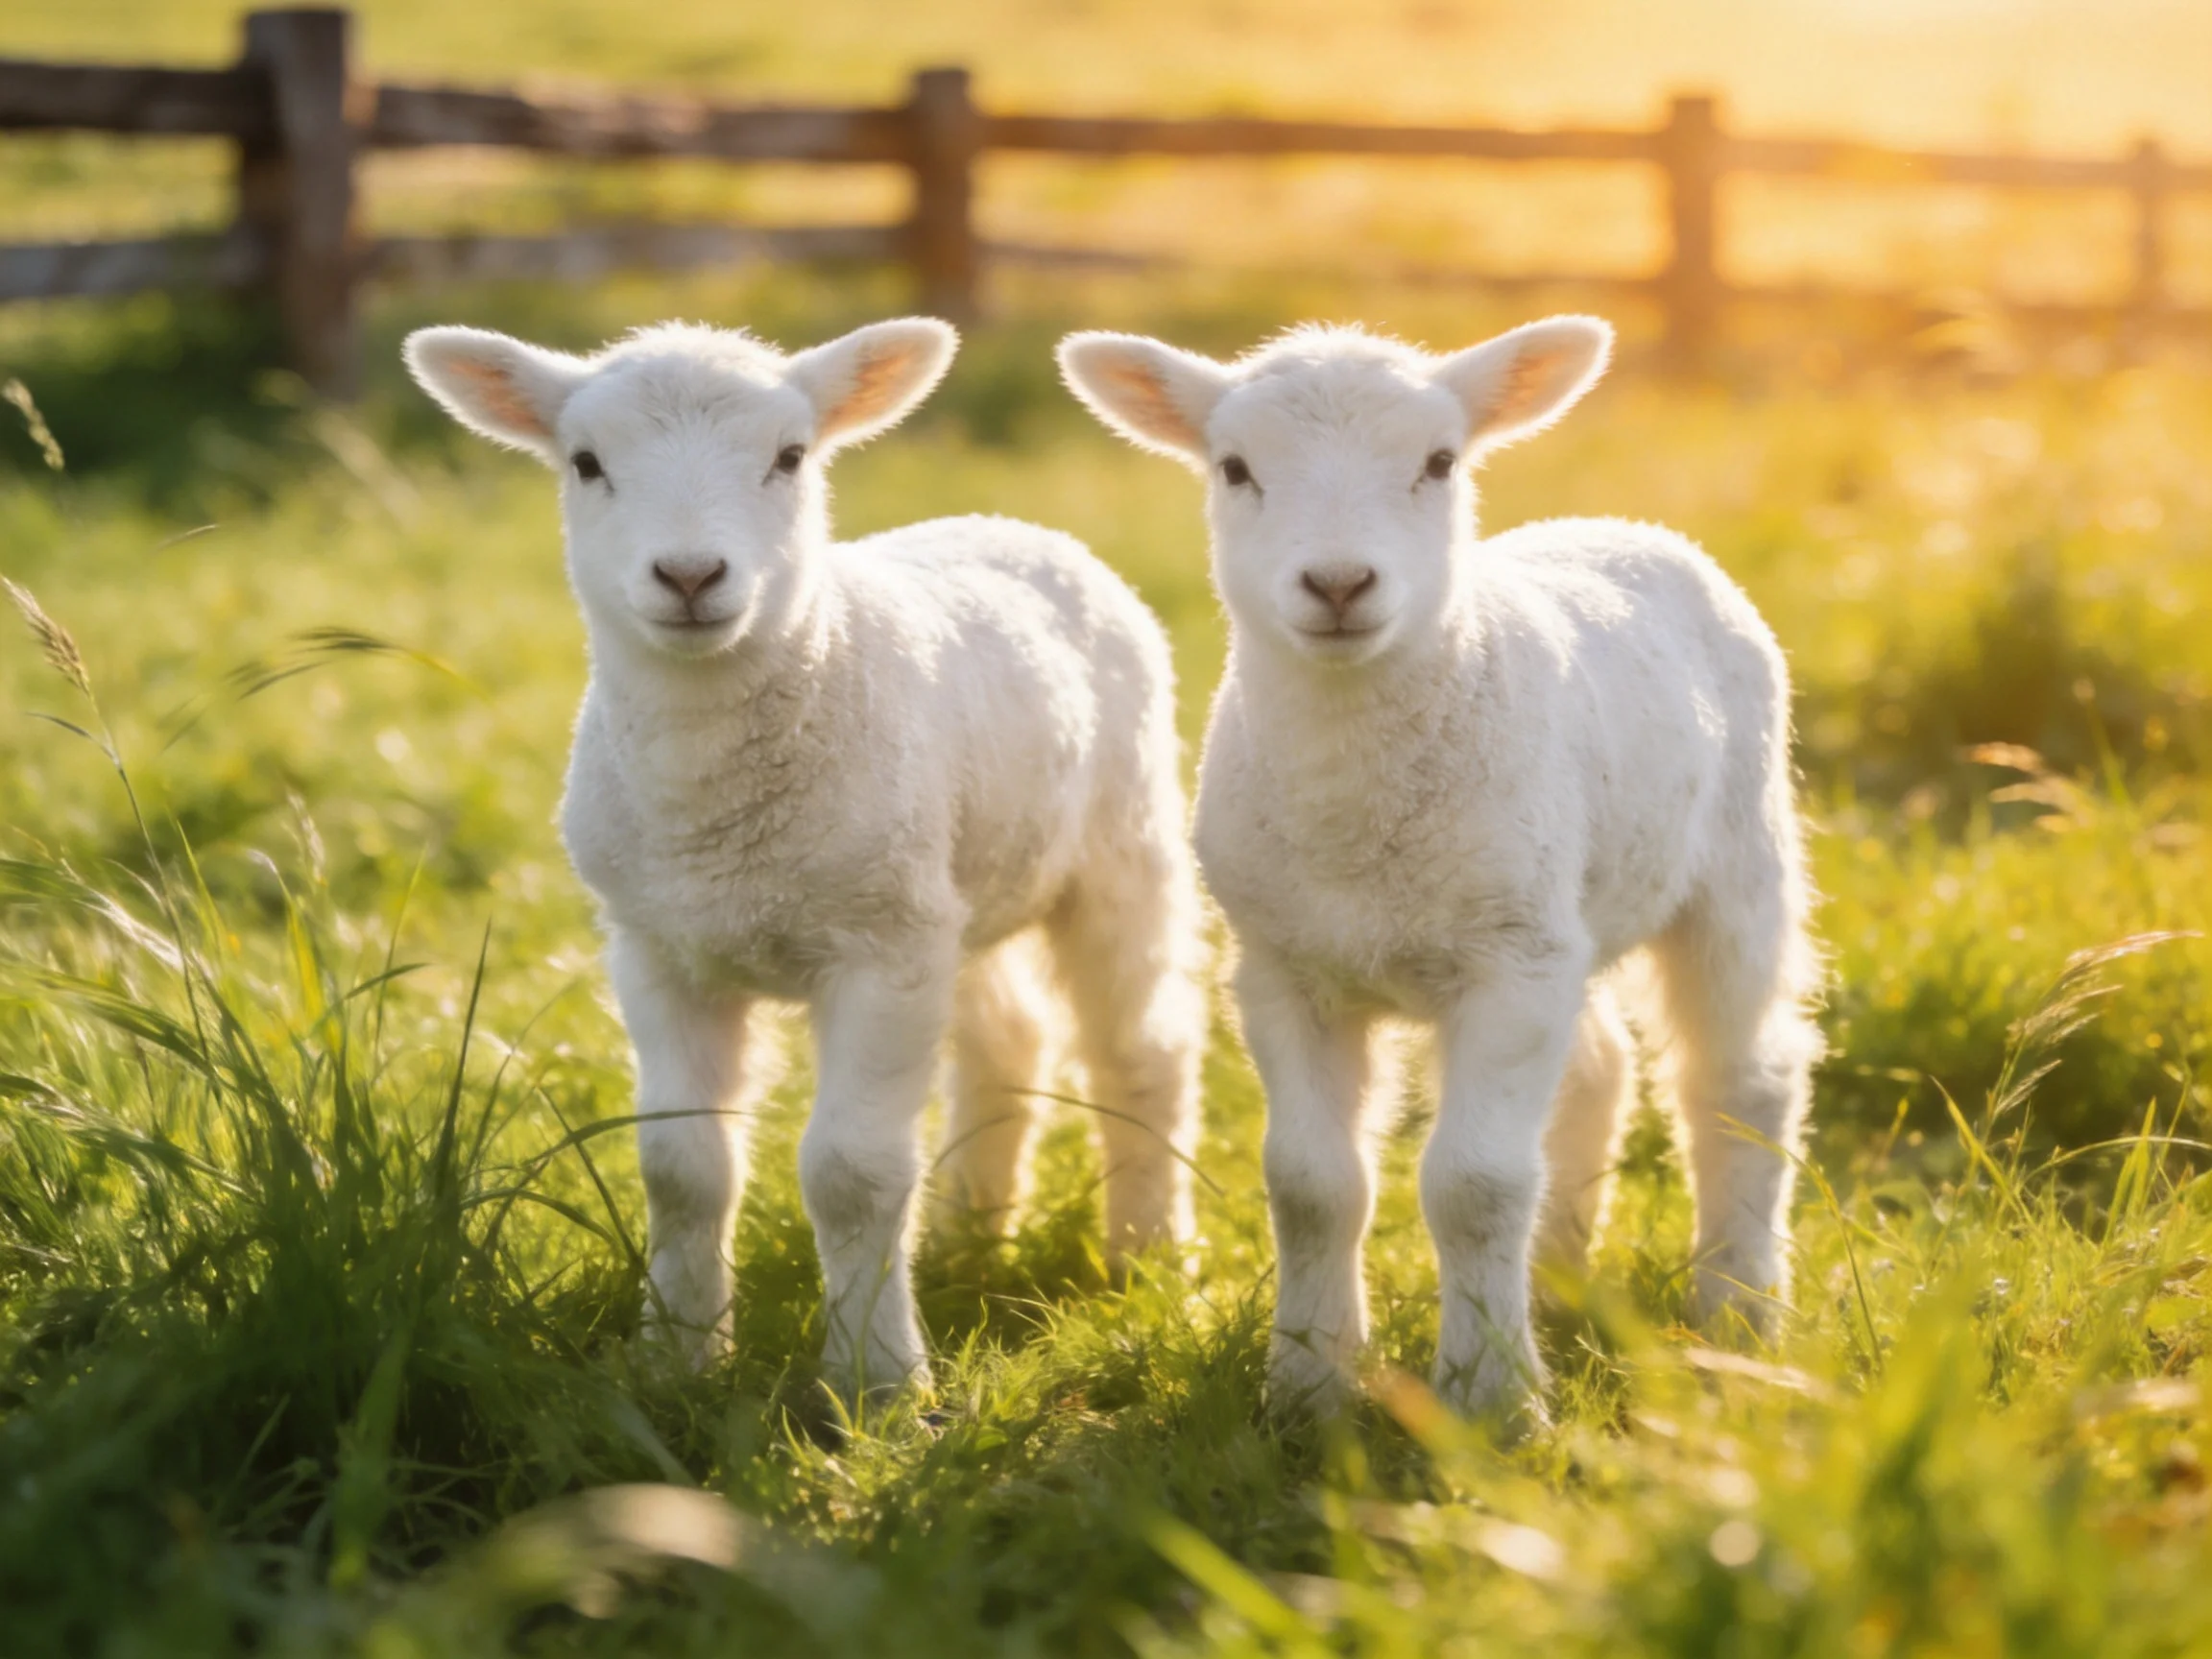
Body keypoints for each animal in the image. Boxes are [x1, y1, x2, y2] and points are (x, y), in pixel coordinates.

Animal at [404, 317, 1205, 1397]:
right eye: (586, 462)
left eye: (789, 458)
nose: (690, 577)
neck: (720, 829)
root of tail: (1012, 523)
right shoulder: (657, 948)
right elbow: (681, 1168)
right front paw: (676, 1358)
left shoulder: (882, 948)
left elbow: (852, 1172)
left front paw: (879, 1381)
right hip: (961, 879)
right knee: (1007, 1039)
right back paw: (969, 1234)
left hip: (1121, 846)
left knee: (1139, 1047)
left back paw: (1145, 1256)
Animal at [1059, 316, 1821, 1422]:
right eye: (1234, 468)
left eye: (1439, 462)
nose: (1338, 585)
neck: (1356, 821)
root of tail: (1625, 525)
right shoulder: (1285, 968)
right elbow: (1310, 1183)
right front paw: (1308, 1385)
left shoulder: (1508, 963)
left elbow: (1473, 1185)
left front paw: (1491, 1399)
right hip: (1563, 910)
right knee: (1597, 1071)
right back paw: (1556, 1278)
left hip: (1733, 865)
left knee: (1741, 1078)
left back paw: (1739, 1303)